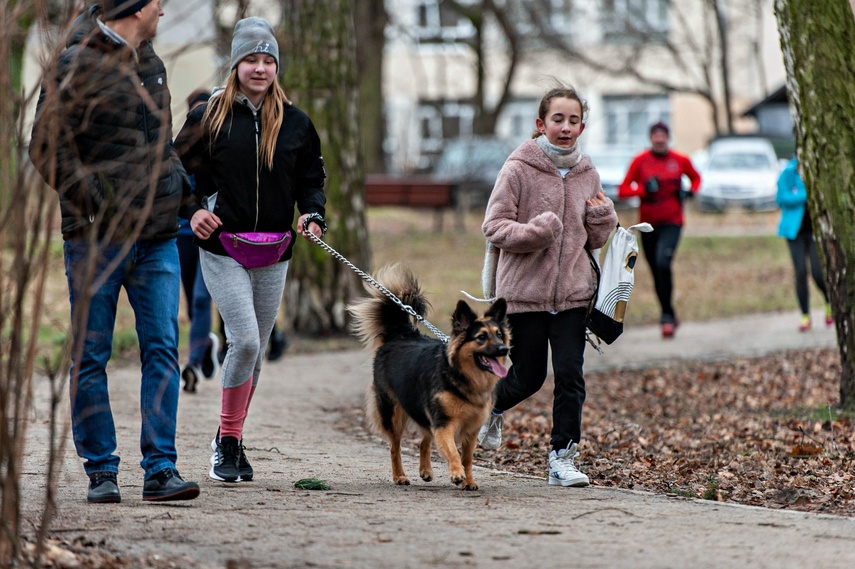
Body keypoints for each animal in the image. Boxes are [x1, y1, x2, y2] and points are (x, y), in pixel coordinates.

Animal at [350, 264, 512, 490]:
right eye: (481, 337)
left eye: (498, 335)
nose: (504, 349)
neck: (460, 375)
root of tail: (400, 335)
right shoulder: (444, 424)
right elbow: (453, 452)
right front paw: (457, 474)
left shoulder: (471, 430)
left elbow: (468, 458)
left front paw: (469, 480)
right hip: (393, 414)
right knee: (394, 447)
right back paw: (399, 476)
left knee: (424, 439)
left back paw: (425, 470)